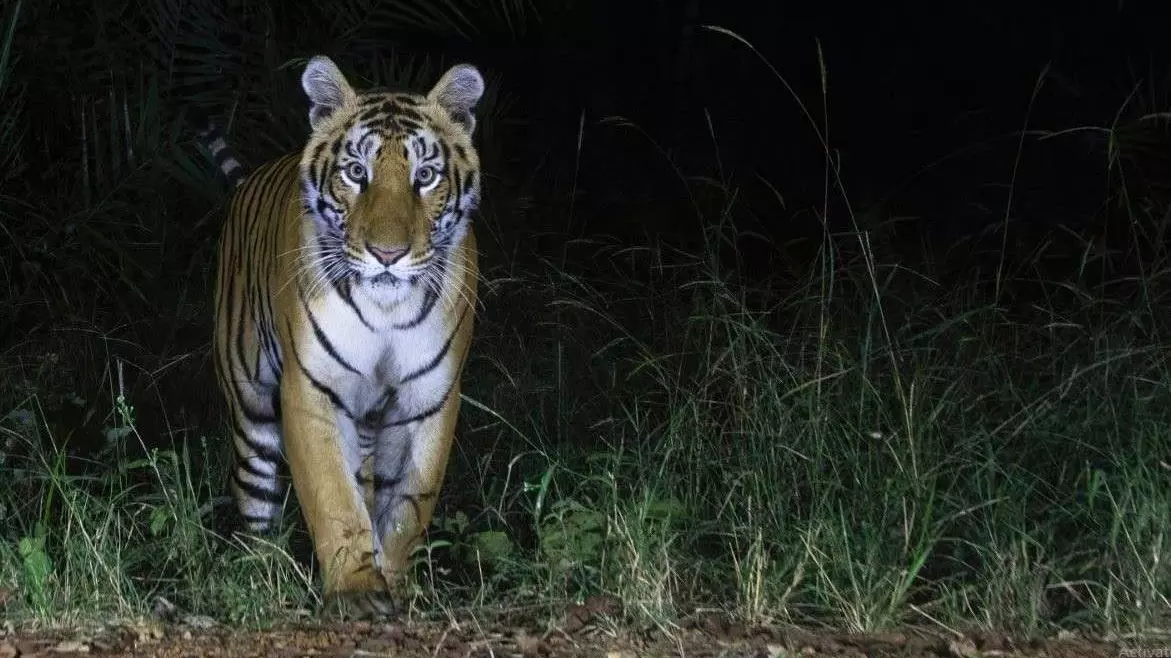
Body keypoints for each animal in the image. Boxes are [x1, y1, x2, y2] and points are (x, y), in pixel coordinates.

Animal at [200, 56, 484, 617]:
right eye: (357, 172)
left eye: (425, 176)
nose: (388, 254)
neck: (386, 311)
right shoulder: (312, 391)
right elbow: (332, 493)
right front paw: (355, 590)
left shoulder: (428, 398)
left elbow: (407, 505)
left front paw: (391, 581)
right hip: (249, 404)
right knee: (256, 492)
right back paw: (260, 571)